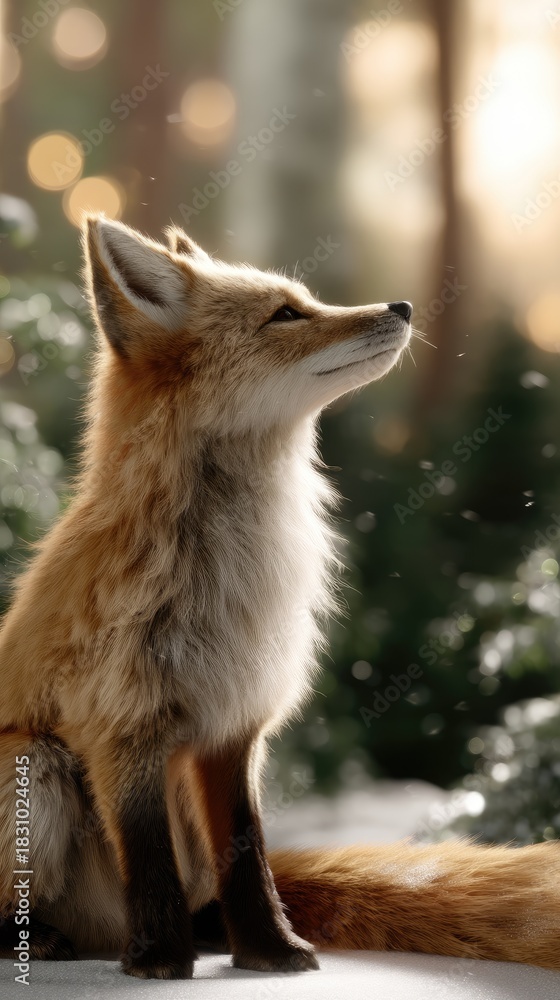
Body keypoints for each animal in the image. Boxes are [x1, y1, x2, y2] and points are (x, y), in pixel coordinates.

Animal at [0, 217, 559, 981]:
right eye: (286, 315)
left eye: (308, 300)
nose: (402, 307)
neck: (225, 573)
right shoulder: (123, 722)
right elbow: (148, 859)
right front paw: (159, 962)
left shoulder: (235, 726)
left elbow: (250, 855)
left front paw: (270, 952)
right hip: (41, 765)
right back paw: (45, 939)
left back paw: (205, 933)